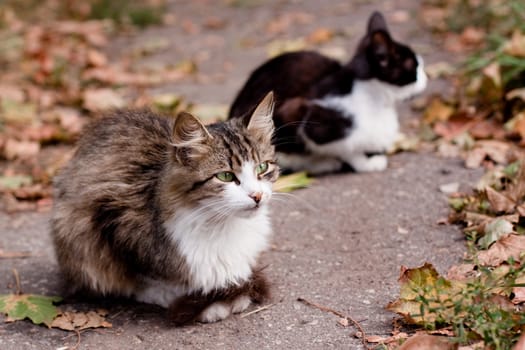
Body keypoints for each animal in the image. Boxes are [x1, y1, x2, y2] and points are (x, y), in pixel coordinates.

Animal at [228, 10, 426, 174]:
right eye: (414, 67)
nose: (425, 78)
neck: (376, 101)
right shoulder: (301, 114)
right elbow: (346, 149)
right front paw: (365, 163)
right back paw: (324, 164)